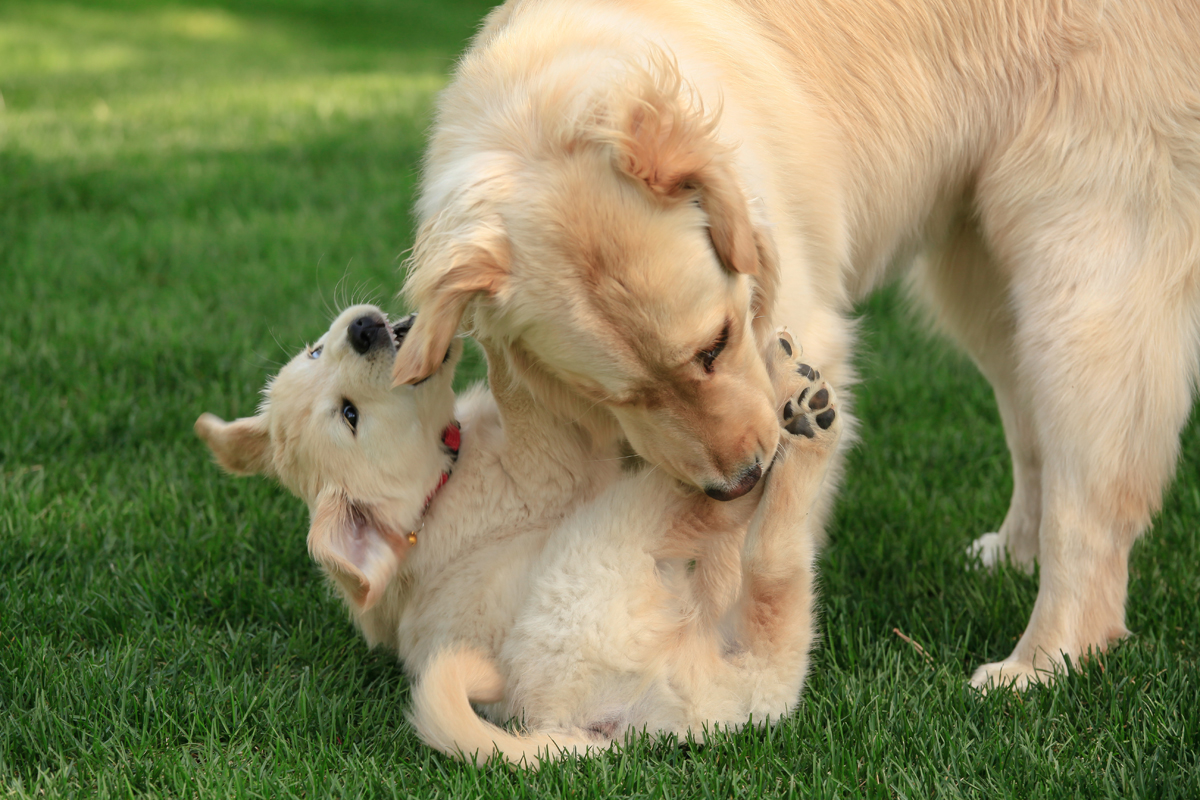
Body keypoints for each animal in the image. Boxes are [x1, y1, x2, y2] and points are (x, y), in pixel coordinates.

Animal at [196, 303, 840, 767]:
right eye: (349, 416)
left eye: (314, 351)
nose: (362, 328)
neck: (438, 486)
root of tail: (600, 729)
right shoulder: (554, 465)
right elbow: (527, 398)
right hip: (617, 532)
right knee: (752, 538)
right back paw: (797, 412)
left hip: (735, 669)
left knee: (772, 622)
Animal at [398, 0, 1200, 690]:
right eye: (615, 395)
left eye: (717, 344)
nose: (742, 478)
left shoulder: (801, 333)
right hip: (984, 285)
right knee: (1032, 435)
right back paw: (1013, 553)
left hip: (1077, 275)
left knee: (1090, 499)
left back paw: (1042, 661)